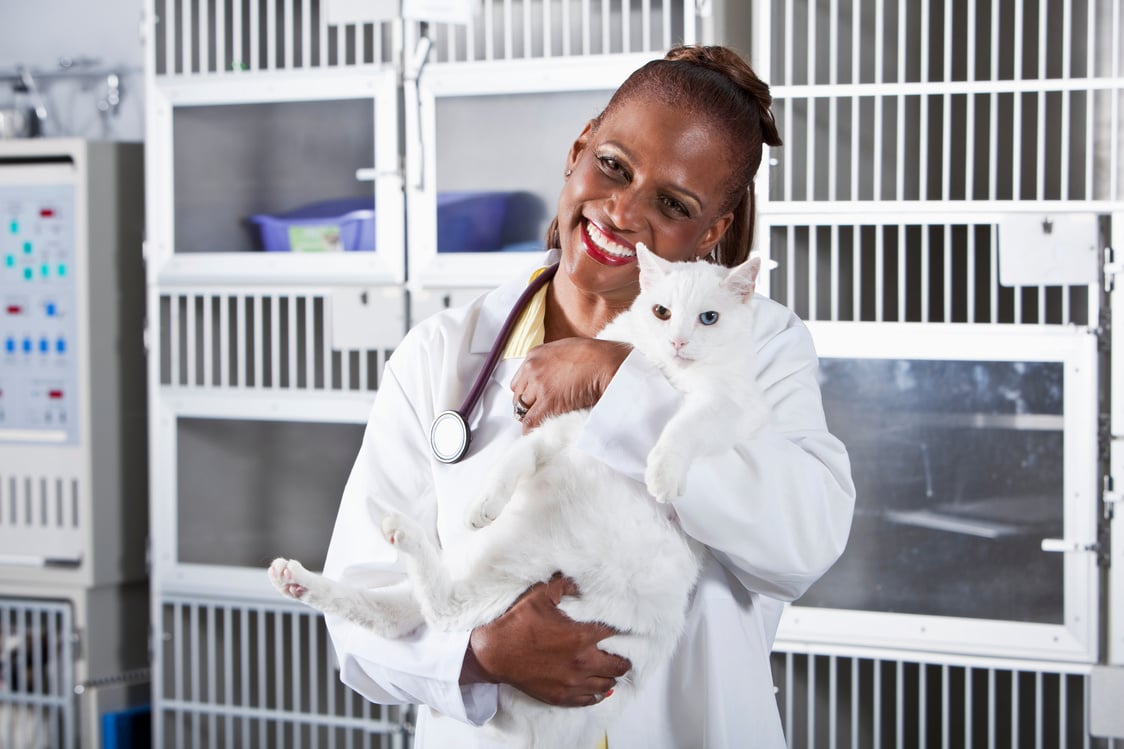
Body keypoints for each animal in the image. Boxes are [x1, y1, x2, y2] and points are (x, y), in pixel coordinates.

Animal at [269, 241, 773, 742]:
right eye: (661, 312)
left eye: (708, 318)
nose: (678, 343)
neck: (662, 372)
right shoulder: (564, 424)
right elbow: (519, 458)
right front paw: (485, 502)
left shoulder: (724, 408)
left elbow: (684, 427)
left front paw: (662, 473)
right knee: (402, 615)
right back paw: (298, 577)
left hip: (532, 569)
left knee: (436, 611)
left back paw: (385, 540)